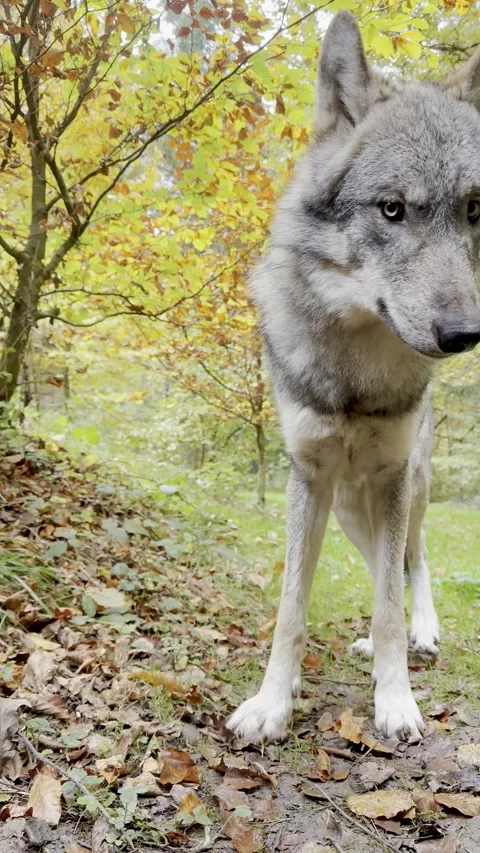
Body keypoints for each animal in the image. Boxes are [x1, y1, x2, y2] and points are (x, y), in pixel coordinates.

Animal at [228, 12, 480, 742]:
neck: (353, 373)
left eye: (475, 210)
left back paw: (421, 635)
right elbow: (291, 611)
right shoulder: (308, 479)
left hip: (410, 488)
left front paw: (395, 701)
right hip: (347, 506)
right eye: (392, 209)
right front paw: (272, 703)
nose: (465, 334)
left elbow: (393, 601)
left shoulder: (392, 477)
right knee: (381, 566)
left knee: (413, 562)